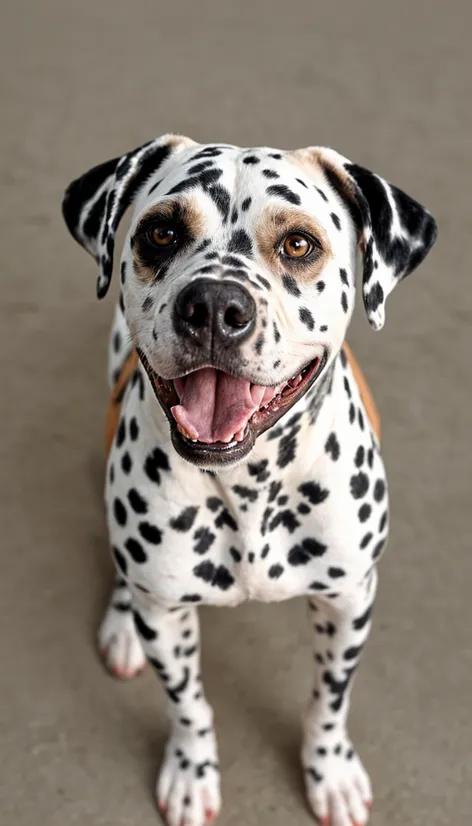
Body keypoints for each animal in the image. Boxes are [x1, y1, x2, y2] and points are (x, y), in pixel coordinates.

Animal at [61, 134, 436, 824]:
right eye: (161, 232)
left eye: (298, 244)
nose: (213, 306)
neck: (248, 483)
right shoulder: (169, 619)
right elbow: (188, 705)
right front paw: (191, 771)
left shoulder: (349, 602)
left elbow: (329, 701)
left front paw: (330, 772)